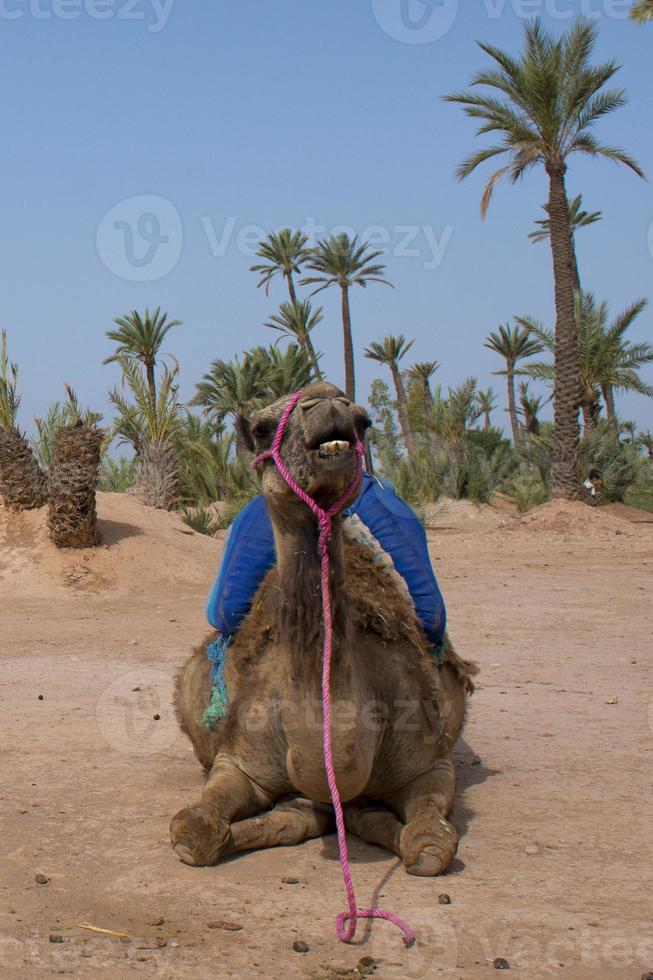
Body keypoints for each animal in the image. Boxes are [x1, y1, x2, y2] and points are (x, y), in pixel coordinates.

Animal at [169, 382, 474, 880]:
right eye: (262, 429)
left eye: (364, 421)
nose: (326, 400)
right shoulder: (238, 760)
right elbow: (194, 833)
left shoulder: (430, 764)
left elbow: (429, 845)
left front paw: (390, 827)